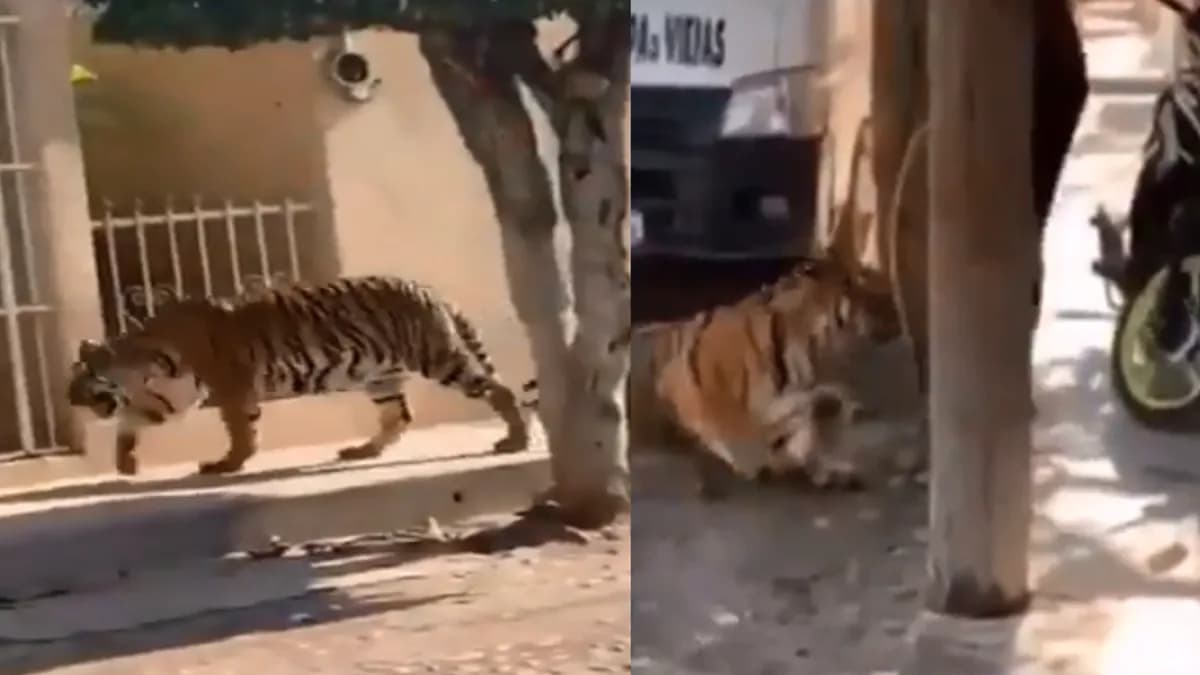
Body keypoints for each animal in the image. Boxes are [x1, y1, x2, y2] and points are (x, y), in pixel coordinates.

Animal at [67, 275, 532, 477]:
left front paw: (228, 464)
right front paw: (125, 462)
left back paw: (516, 440)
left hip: (438, 357)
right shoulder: (174, 397)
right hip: (380, 376)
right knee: (398, 416)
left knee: (499, 389)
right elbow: (133, 422)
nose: (70, 401)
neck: (141, 362)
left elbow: (240, 429)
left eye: (78, 380)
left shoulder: (229, 385)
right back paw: (361, 451)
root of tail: (431, 289)